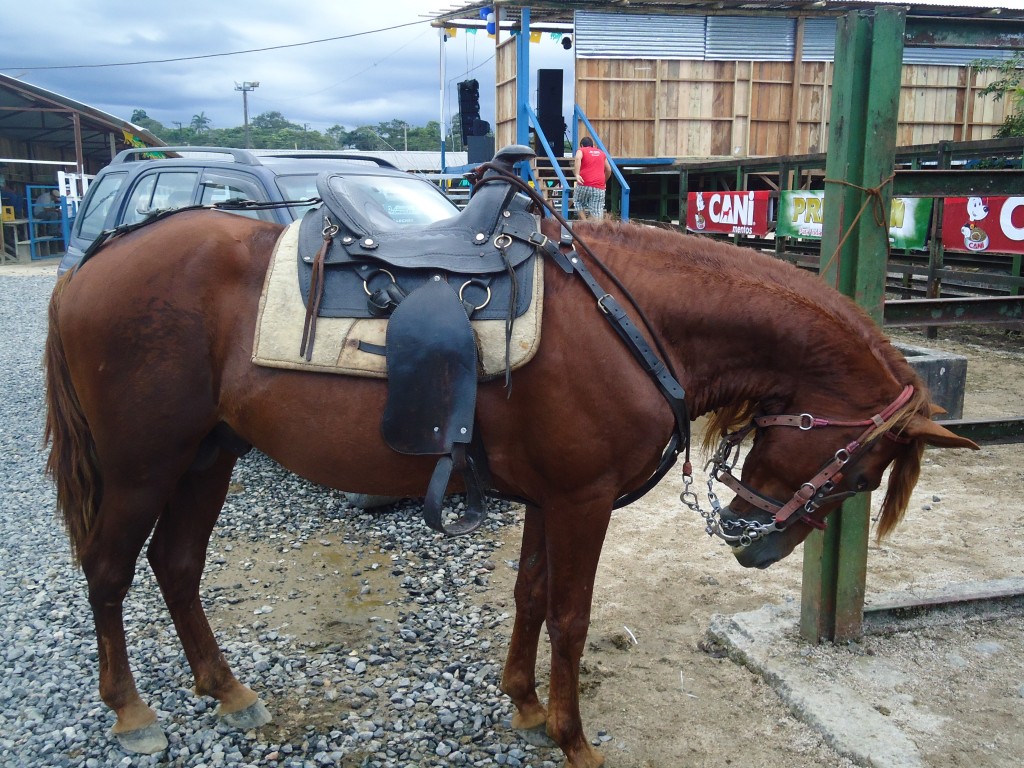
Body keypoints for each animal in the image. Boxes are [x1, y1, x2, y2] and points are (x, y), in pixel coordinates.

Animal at [44, 206, 976, 768]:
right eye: (859, 469)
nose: (758, 545)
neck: (635, 319)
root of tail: (94, 263)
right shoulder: (582, 501)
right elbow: (571, 617)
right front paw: (572, 737)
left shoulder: (548, 498)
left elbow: (529, 596)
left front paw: (524, 705)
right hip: (142, 464)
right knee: (110, 572)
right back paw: (131, 711)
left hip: (209, 455)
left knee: (178, 565)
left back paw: (227, 689)